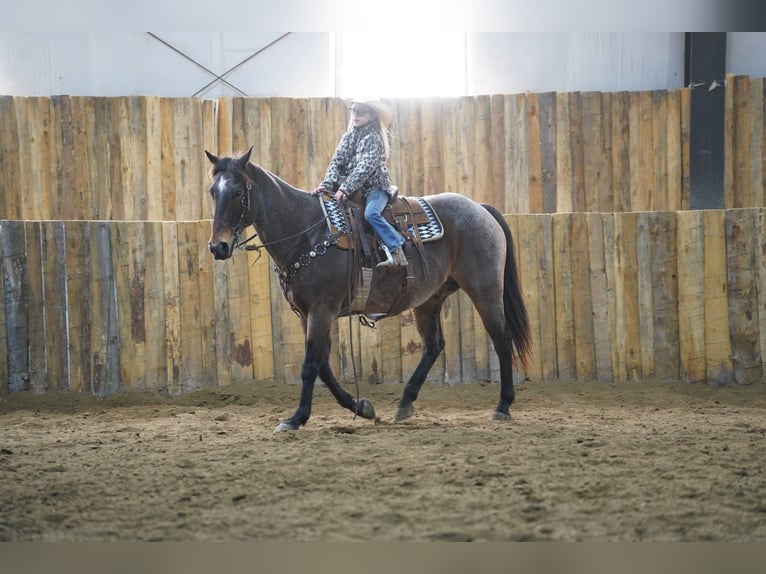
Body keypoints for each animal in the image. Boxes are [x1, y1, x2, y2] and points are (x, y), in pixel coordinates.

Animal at [205, 147, 531, 432]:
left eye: (238, 191)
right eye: (212, 191)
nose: (218, 246)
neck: (307, 233)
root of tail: (481, 209)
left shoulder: (322, 310)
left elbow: (311, 365)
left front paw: (296, 418)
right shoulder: (305, 313)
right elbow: (323, 365)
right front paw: (362, 407)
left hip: (485, 290)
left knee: (501, 340)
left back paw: (503, 406)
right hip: (430, 299)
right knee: (434, 345)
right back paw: (405, 403)